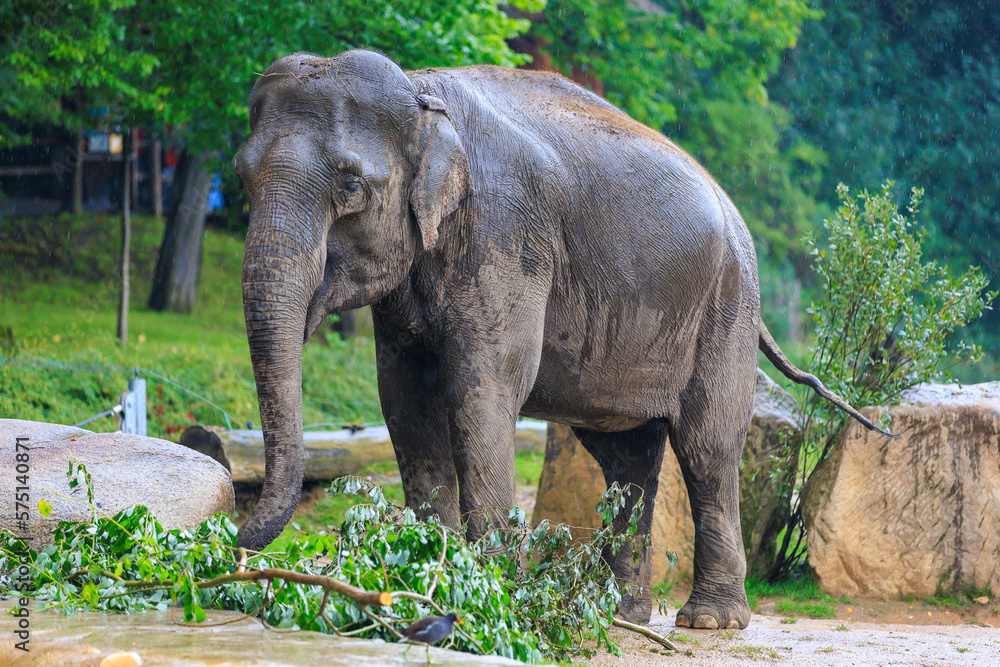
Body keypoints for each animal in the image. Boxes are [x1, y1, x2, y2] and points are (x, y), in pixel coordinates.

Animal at [232, 49, 886, 629]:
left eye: (350, 186)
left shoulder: (506, 238)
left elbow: (482, 392)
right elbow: (403, 400)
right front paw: (425, 576)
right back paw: (620, 613)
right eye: (241, 177)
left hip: (727, 307)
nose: (235, 545)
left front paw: (490, 597)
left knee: (707, 448)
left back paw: (710, 621)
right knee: (626, 459)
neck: (422, 91)